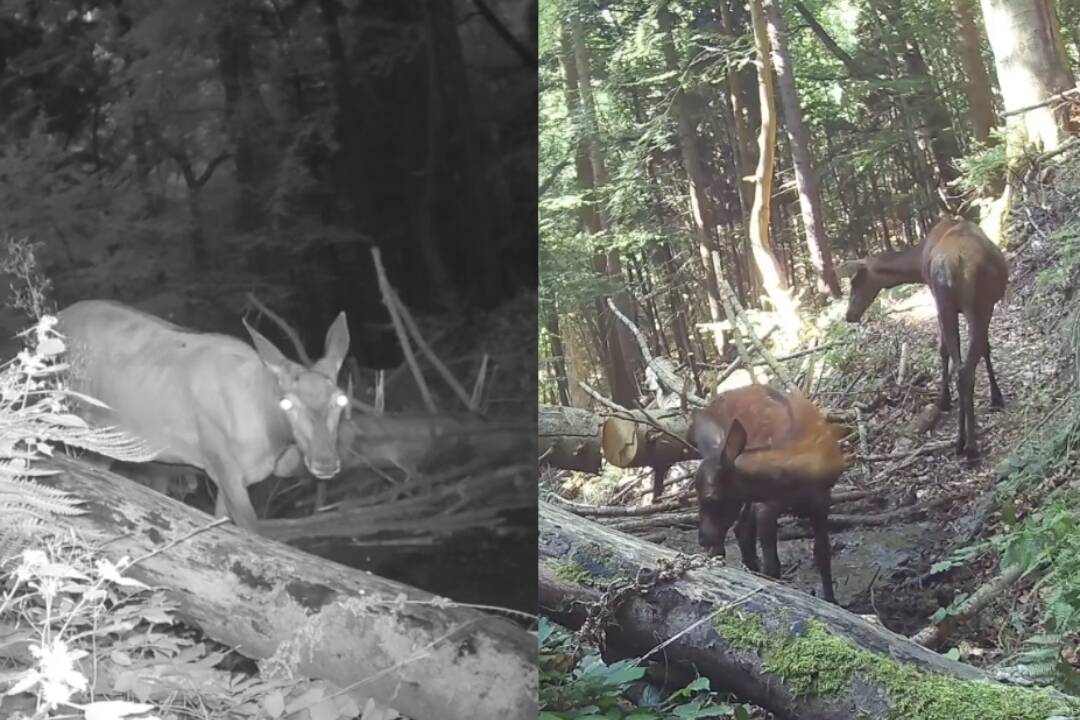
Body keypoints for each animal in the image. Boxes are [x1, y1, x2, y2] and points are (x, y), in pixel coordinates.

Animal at [56, 300, 352, 535]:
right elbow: (253, 531)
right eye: (288, 403)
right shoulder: (221, 462)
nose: (325, 462)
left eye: (341, 399)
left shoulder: (232, 478)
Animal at [686, 382, 846, 604]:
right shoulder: (767, 505)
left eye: (712, 499)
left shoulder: (823, 500)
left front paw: (831, 600)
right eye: (697, 494)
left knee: (741, 529)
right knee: (738, 532)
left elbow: (822, 554)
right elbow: (772, 566)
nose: (702, 539)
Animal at [838, 216, 1006, 462]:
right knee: (964, 369)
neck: (918, 264)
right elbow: (975, 348)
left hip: (961, 305)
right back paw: (967, 445)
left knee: (963, 367)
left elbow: (955, 349)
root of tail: (951, 267)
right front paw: (991, 397)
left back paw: (965, 443)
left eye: (856, 282)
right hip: (968, 306)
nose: (849, 315)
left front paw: (947, 400)